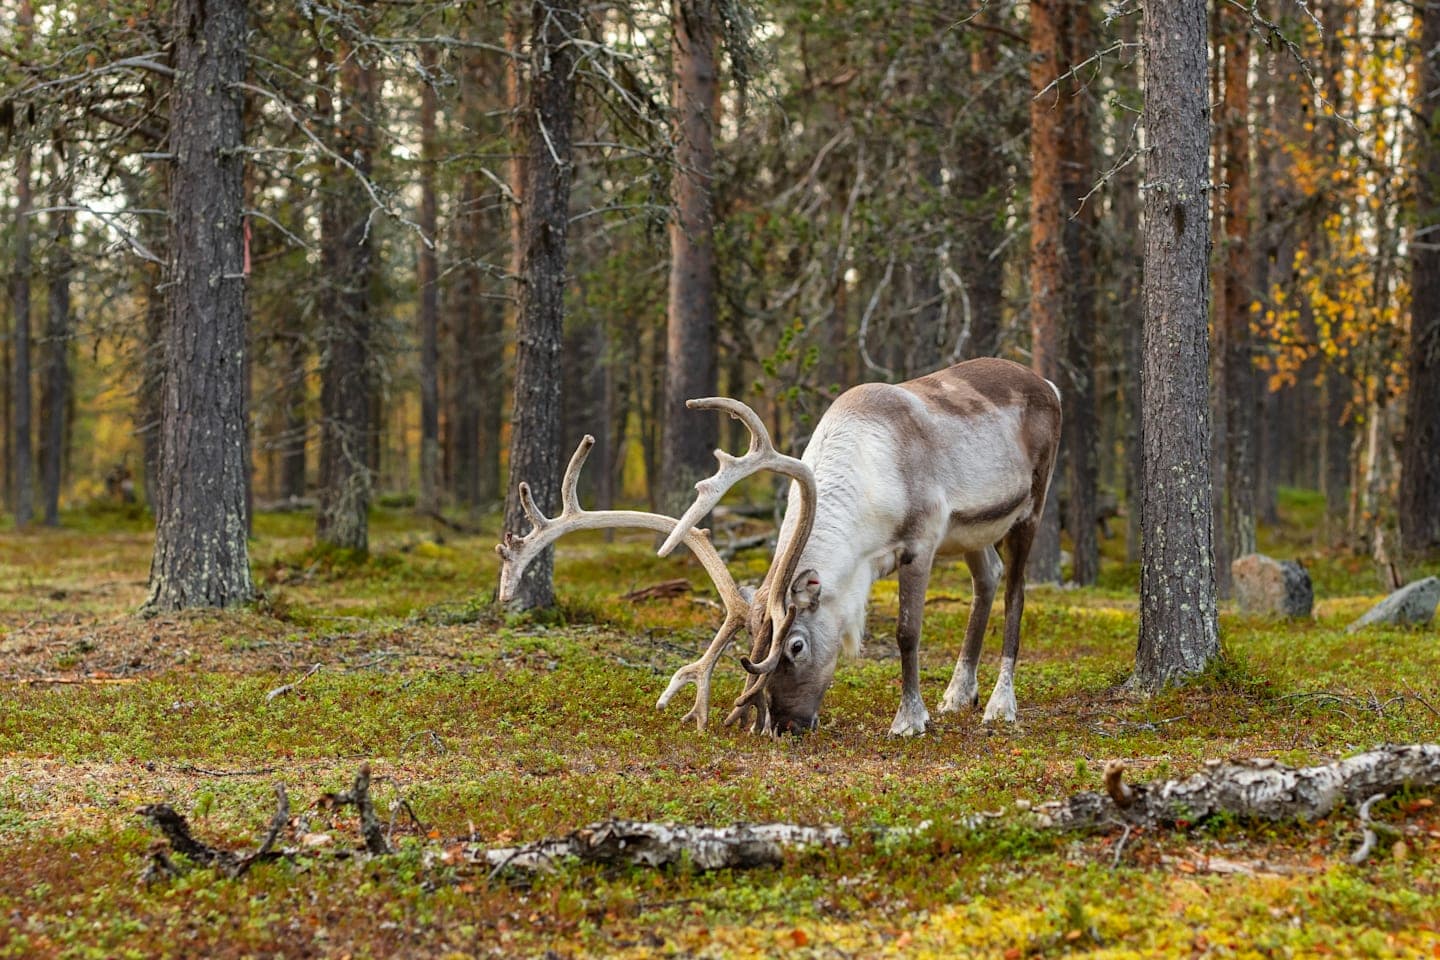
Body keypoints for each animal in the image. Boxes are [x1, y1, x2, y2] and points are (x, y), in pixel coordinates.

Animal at [497, 356, 1061, 736]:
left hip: (1031, 505)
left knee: (1016, 593)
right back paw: (958, 693)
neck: (870, 478)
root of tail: (1048, 383)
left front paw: (908, 719)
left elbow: (906, 632)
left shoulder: (920, 540)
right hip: (973, 530)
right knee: (987, 580)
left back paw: (999, 704)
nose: (787, 725)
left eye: (795, 646)